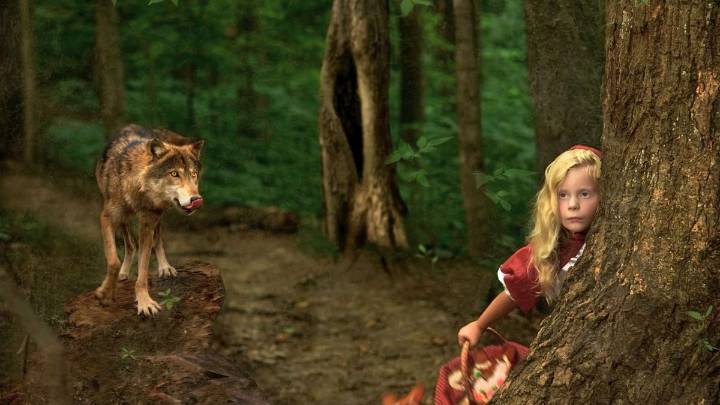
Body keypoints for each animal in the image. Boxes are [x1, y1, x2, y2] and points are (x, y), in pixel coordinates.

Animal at [94, 124, 204, 316]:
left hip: (158, 217)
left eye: (193, 174)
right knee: (131, 245)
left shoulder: (148, 223)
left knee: (156, 241)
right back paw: (123, 273)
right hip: (123, 218)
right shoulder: (107, 218)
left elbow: (143, 269)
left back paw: (165, 268)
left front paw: (144, 301)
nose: (196, 199)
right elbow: (113, 261)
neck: (138, 189)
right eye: (174, 174)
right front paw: (105, 294)